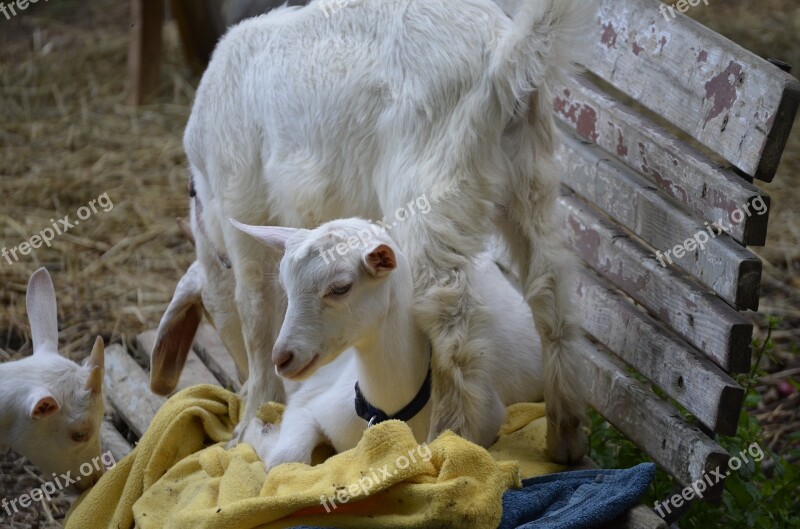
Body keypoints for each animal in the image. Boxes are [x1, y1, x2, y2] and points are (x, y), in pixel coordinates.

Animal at [150, 0, 592, 462]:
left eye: (209, 320)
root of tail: (507, 54)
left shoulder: (241, 210)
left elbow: (255, 318)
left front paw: (252, 416)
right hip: (532, 178)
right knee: (550, 288)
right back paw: (565, 437)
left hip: (429, 188)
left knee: (451, 316)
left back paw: (450, 437)